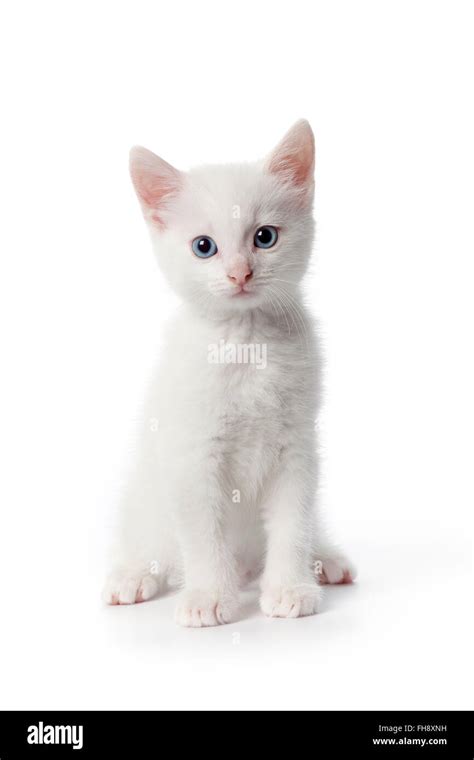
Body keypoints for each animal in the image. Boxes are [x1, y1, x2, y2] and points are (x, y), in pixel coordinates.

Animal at [103, 121, 356, 628]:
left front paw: (290, 587)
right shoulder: (192, 452)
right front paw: (207, 596)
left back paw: (325, 559)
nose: (240, 274)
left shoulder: (297, 445)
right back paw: (134, 574)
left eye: (265, 237)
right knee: (150, 539)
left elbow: (293, 523)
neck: (246, 342)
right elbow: (202, 532)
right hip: (144, 494)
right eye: (204, 247)